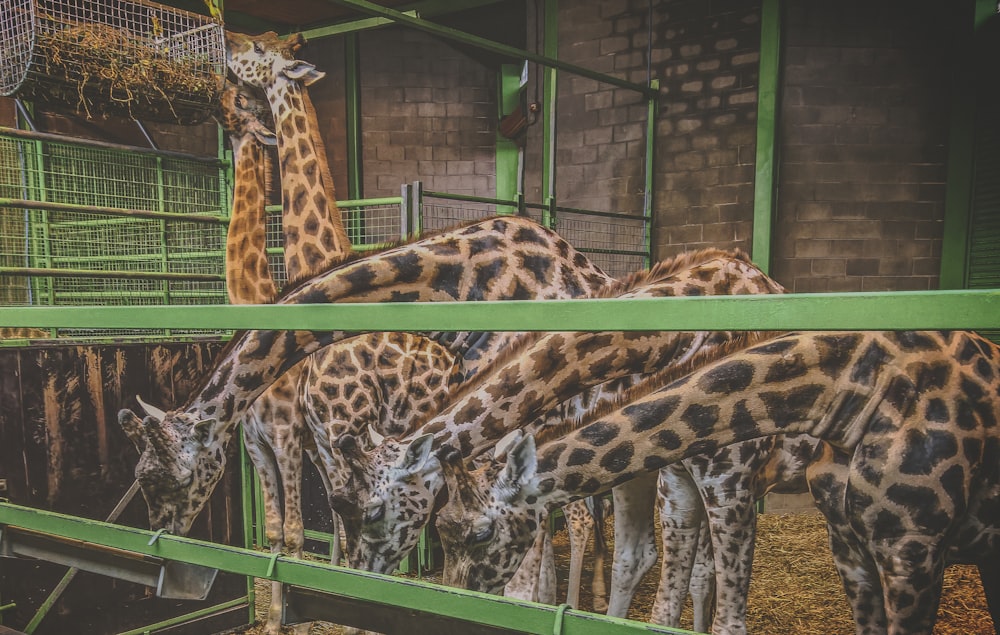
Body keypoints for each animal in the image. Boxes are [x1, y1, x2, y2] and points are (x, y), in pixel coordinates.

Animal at [436, 330, 1000, 635]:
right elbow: (669, 598)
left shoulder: (908, 548)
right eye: (440, 527)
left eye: (480, 533)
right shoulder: (683, 488)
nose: (452, 598)